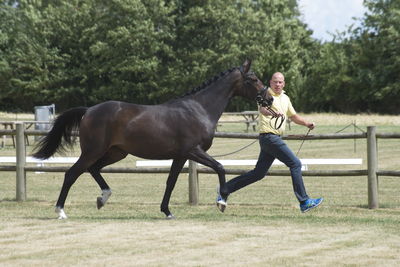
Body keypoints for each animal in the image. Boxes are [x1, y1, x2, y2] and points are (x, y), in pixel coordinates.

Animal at [32, 59, 274, 220]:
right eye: (253, 79)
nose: (269, 98)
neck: (199, 109)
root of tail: (89, 110)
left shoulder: (180, 156)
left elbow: (171, 181)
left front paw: (167, 211)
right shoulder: (193, 151)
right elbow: (221, 167)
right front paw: (221, 201)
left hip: (115, 152)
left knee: (93, 170)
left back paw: (103, 198)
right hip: (93, 151)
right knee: (72, 174)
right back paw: (61, 211)